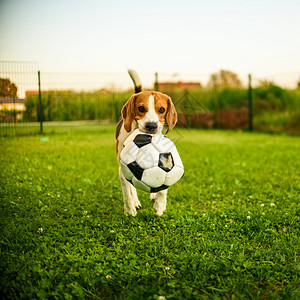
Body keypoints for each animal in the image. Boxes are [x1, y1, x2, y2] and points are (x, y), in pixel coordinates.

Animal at [116, 71, 178, 216]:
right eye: (141, 108)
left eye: (162, 110)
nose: (151, 126)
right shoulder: (122, 169)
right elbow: (127, 191)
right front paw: (129, 209)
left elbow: (164, 186)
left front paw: (160, 205)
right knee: (131, 186)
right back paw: (135, 202)